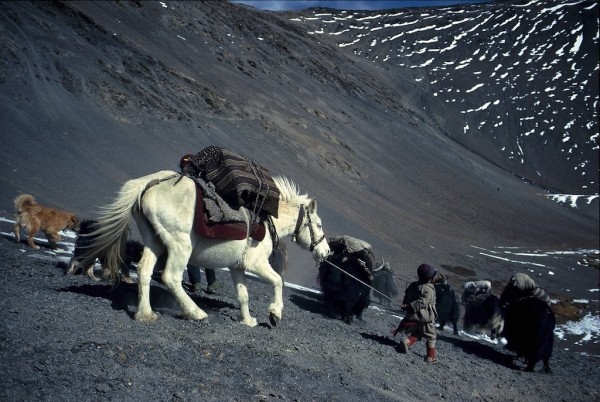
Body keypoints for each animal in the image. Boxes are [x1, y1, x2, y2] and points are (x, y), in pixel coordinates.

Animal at [78, 170, 330, 326]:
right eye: (318, 224)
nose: (326, 252)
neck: (269, 221)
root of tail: (150, 183)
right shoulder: (256, 264)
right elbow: (278, 281)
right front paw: (275, 314)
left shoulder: (237, 267)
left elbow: (243, 295)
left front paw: (248, 321)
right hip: (180, 246)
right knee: (171, 277)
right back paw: (196, 313)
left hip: (154, 241)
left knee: (144, 271)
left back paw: (145, 314)